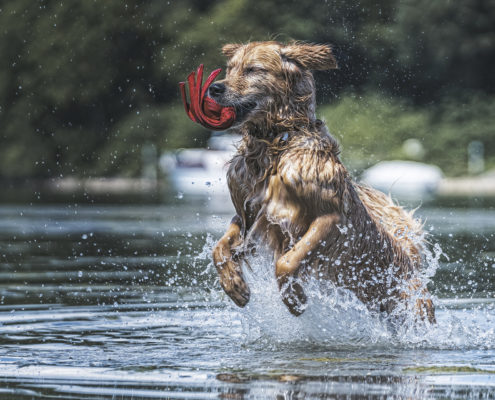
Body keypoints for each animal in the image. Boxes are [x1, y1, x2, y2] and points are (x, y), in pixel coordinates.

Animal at [211, 40, 436, 322]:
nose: (214, 88)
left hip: (413, 311)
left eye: (253, 69)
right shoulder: (247, 214)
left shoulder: (331, 217)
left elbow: (286, 262)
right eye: (230, 69)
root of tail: (410, 260)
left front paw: (294, 299)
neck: (275, 143)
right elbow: (219, 248)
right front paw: (234, 285)